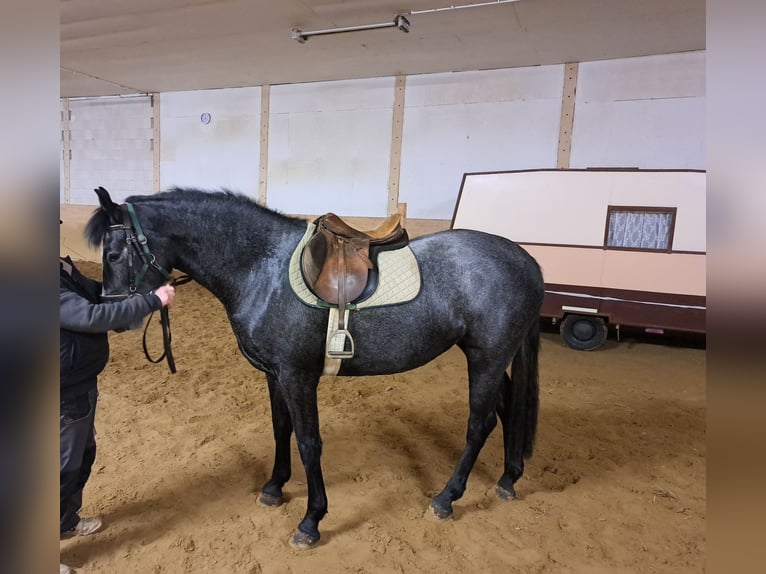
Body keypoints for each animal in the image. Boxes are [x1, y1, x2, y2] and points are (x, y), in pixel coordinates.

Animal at [85, 187, 544, 552]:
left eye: (114, 253)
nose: (112, 314)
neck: (261, 269)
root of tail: (526, 260)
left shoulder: (297, 376)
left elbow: (309, 443)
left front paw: (311, 521)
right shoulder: (275, 374)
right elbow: (280, 429)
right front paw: (274, 488)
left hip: (486, 357)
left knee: (479, 423)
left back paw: (447, 498)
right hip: (488, 356)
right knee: (507, 410)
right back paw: (508, 478)